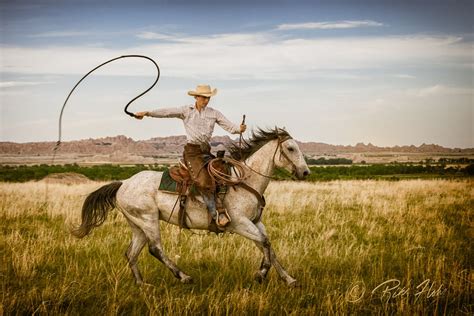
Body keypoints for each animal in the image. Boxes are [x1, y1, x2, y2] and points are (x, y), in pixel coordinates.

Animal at [73, 127, 312, 286]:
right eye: (290, 148)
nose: (305, 172)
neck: (243, 181)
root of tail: (123, 183)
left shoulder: (255, 222)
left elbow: (269, 247)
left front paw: (289, 279)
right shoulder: (239, 224)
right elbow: (265, 244)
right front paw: (261, 274)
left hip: (137, 224)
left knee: (131, 253)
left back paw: (142, 285)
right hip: (148, 220)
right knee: (155, 248)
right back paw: (184, 277)